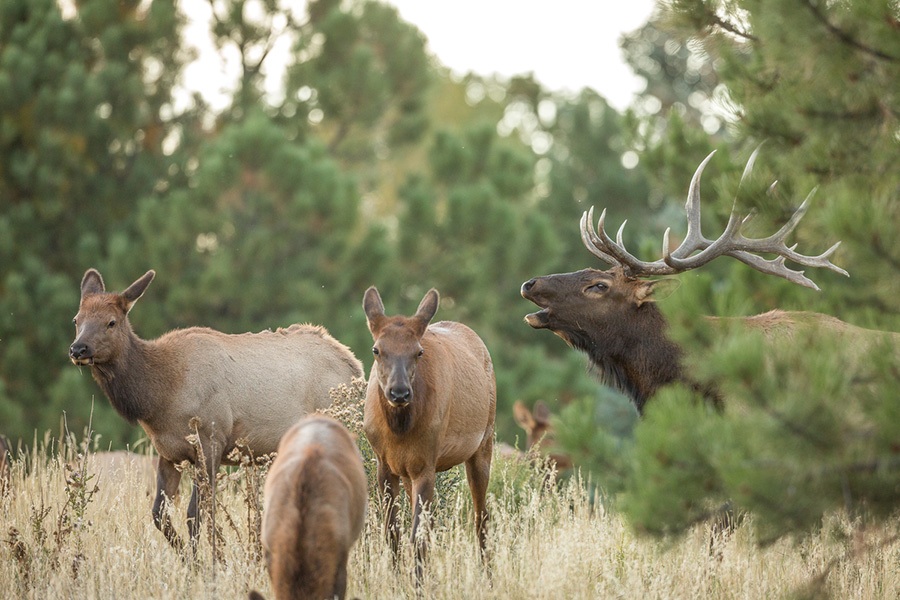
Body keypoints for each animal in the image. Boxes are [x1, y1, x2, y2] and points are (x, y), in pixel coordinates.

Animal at [69, 268, 364, 552]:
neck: (158, 398)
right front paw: (186, 557)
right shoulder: (169, 453)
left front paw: (203, 562)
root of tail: (354, 365)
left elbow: (195, 514)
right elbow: (159, 515)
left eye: (111, 322)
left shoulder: (210, 440)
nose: (78, 349)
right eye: (76, 319)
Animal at [362, 286, 496, 582]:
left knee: (481, 516)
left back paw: (488, 576)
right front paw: (397, 581)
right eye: (376, 349)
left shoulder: (426, 463)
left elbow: (417, 536)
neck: (399, 431)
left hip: (484, 440)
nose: (399, 392)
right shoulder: (384, 463)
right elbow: (392, 532)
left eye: (418, 351)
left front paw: (417, 584)